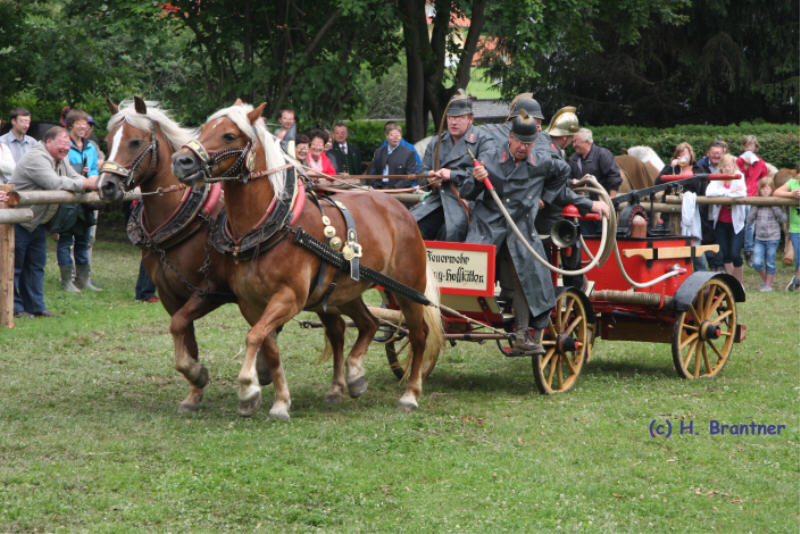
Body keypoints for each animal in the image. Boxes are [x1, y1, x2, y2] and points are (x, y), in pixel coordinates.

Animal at [99, 96, 276, 414]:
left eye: (134, 141)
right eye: (108, 141)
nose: (106, 186)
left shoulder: (211, 291)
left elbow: (179, 326)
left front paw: (198, 374)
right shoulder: (171, 295)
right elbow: (185, 337)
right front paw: (193, 392)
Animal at [171, 102, 444, 420]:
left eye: (228, 135)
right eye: (203, 129)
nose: (181, 161)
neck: (270, 226)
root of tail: (400, 208)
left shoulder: (289, 297)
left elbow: (254, 337)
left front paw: (248, 388)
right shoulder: (250, 303)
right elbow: (267, 345)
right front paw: (279, 400)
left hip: (407, 290)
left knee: (419, 334)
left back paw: (411, 393)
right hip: (345, 291)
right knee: (369, 323)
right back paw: (353, 375)